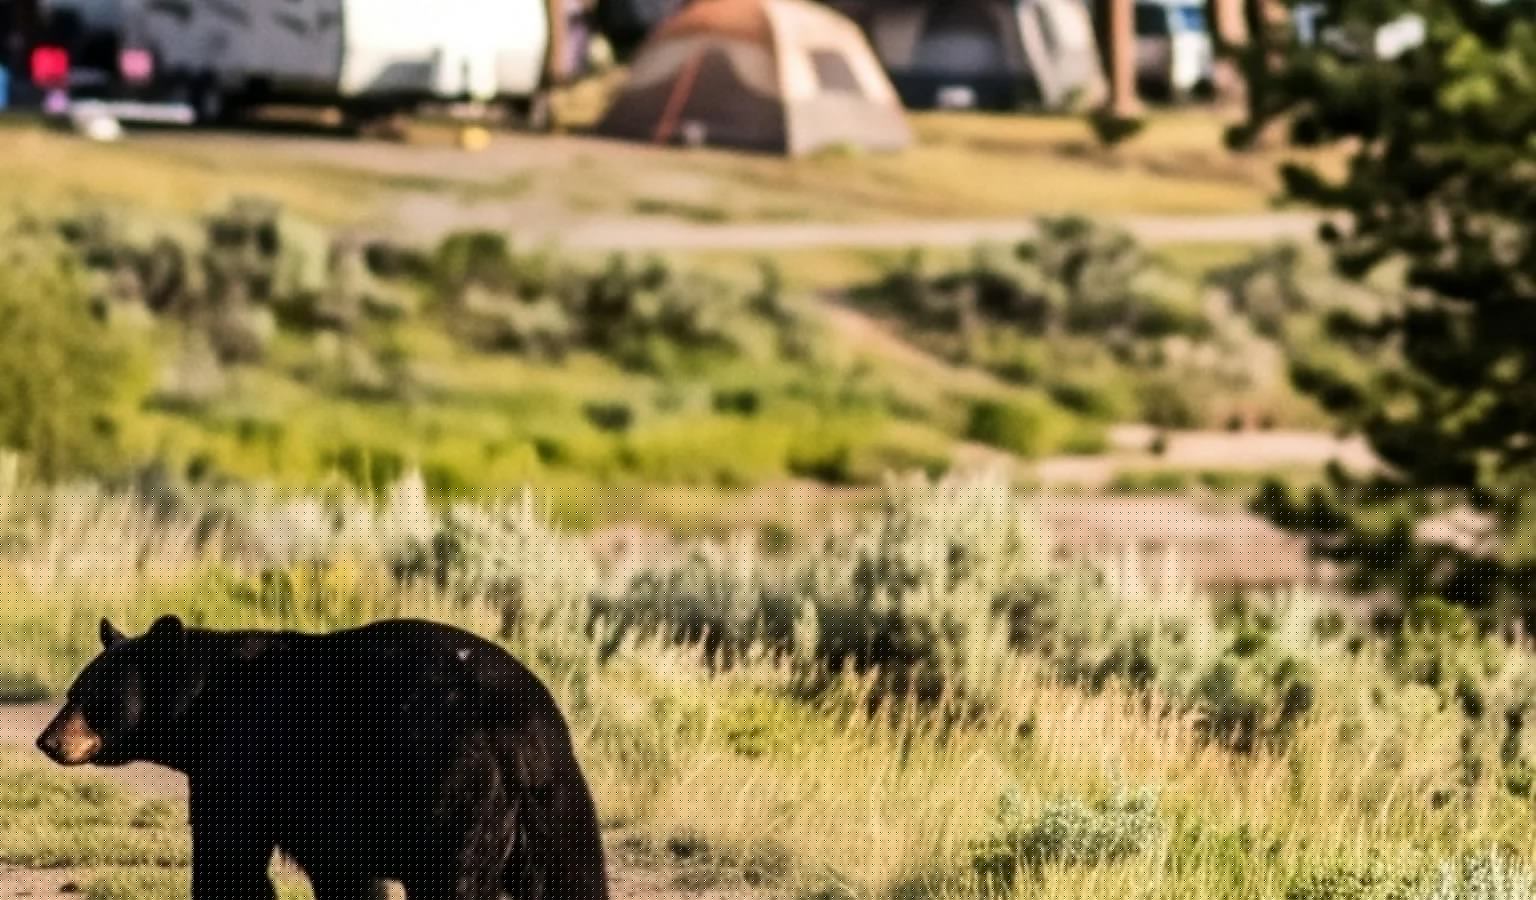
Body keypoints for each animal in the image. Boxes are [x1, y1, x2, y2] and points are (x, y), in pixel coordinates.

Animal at [36, 615, 608, 900]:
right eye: (72, 691)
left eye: (91, 697)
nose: (47, 740)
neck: (202, 706)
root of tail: (518, 735)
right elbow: (344, 874)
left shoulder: (245, 755)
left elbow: (229, 857)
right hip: (558, 802)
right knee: (573, 880)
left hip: (449, 787)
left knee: (452, 881)